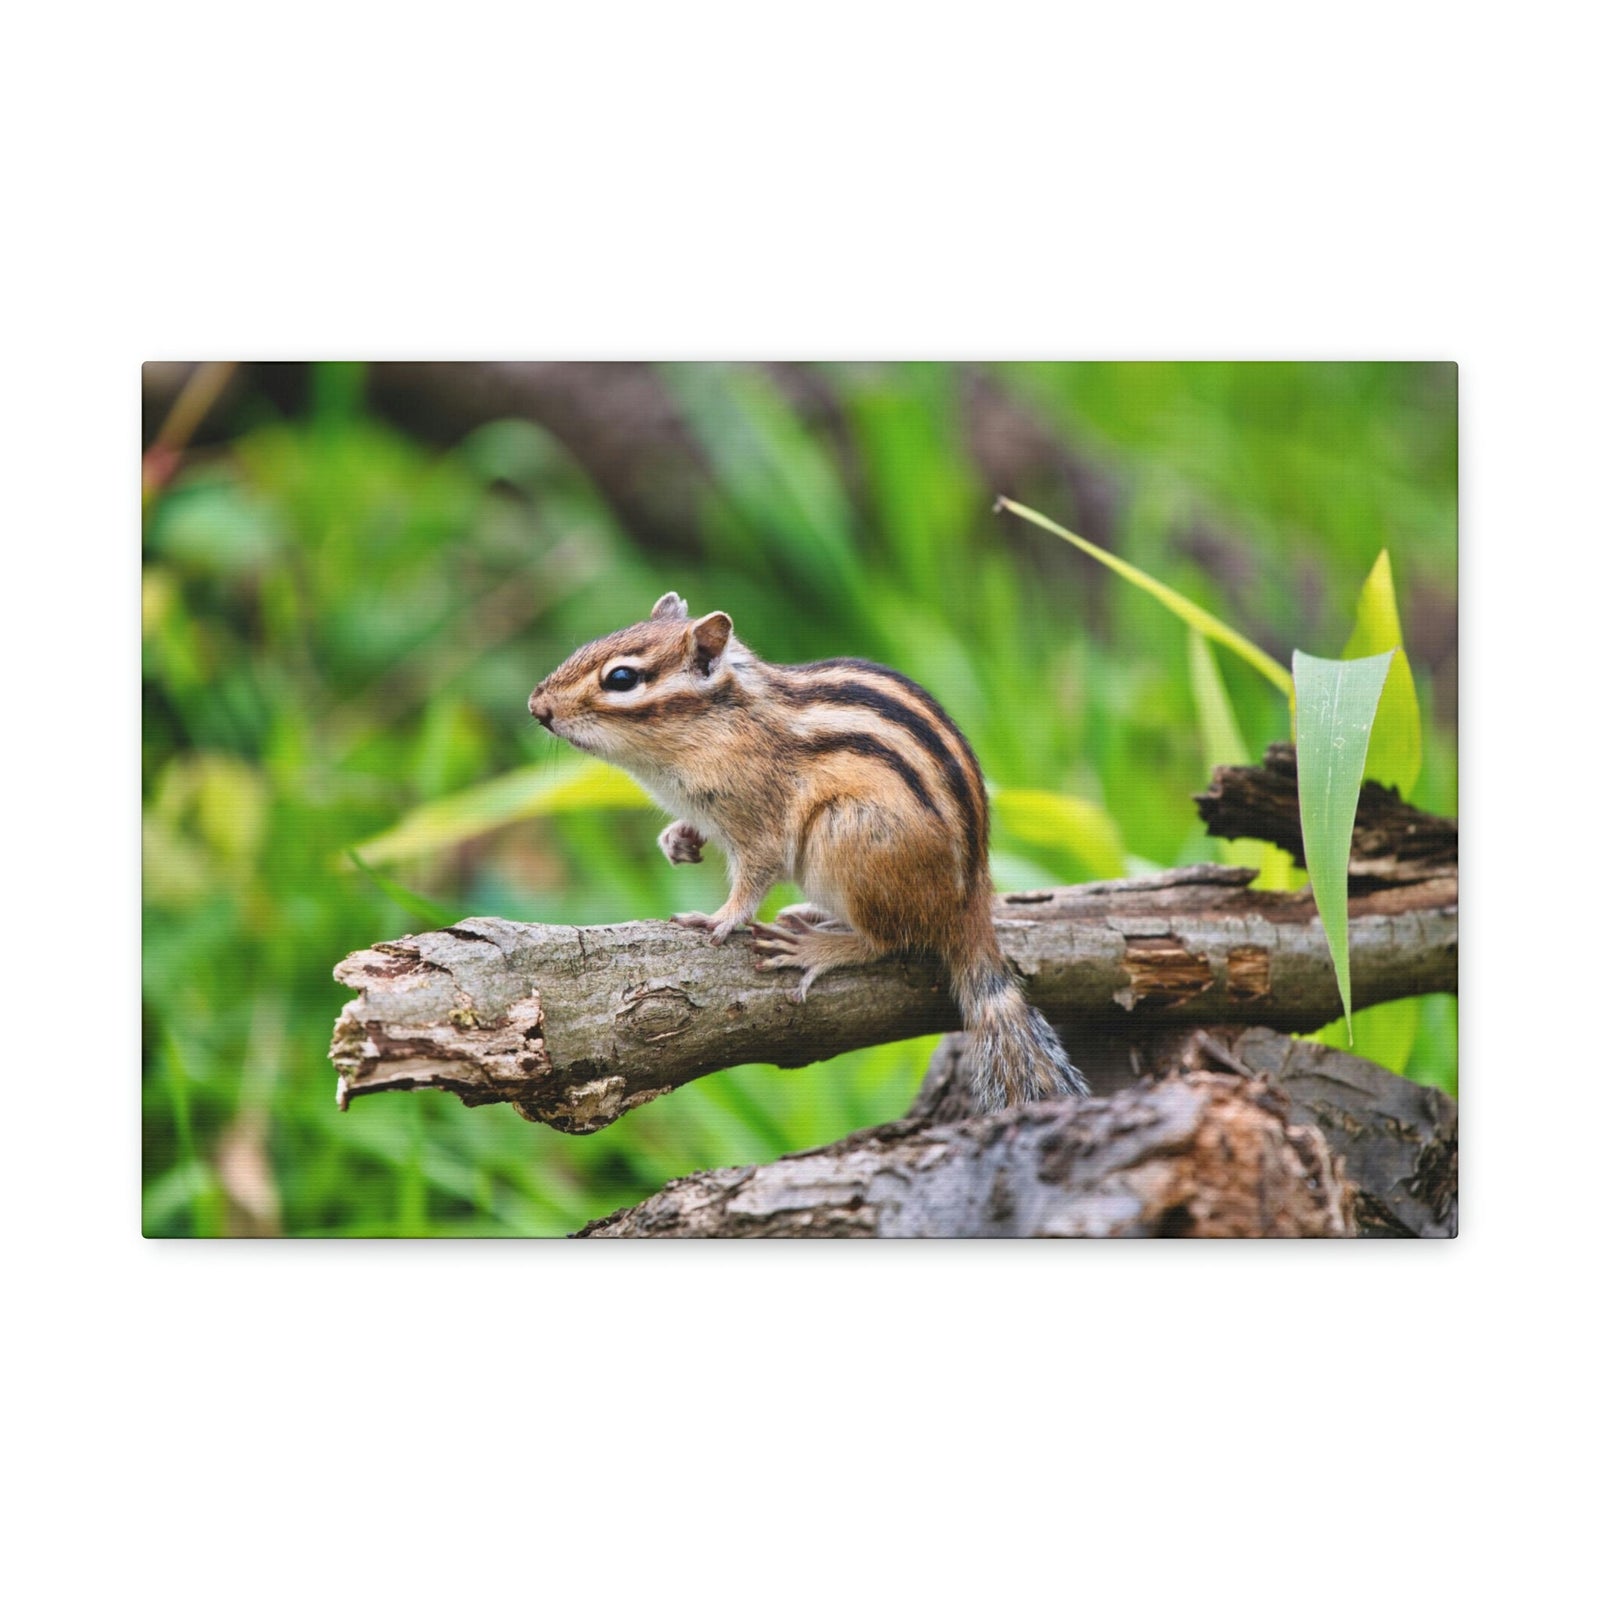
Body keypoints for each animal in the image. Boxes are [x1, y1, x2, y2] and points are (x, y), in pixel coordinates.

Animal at [527, 592, 1089, 1109]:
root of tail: (970, 905)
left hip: (845, 837)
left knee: (889, 941)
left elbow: (755, 875)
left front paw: (722, 918)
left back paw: (816, 947)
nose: (537, 707)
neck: (719, 725)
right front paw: (678, 839)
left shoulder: (761, 820)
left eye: (621, 679)